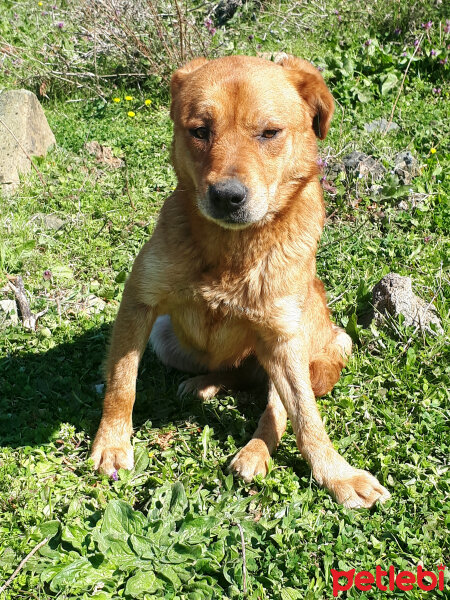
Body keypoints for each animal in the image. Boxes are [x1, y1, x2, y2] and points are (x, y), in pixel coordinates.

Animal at [91, 54, 390, 508]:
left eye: (269, 133)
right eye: (200, 131)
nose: (227, 197)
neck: (232, 251)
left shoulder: (283, 337)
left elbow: (306, 419)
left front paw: (336, 474)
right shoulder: (140, 302)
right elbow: (122, 382)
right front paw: (112, 443)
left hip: (316, 344)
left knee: (275, 404)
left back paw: (253, 452)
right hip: (167, 338)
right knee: (238, 377)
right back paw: (205, 385)